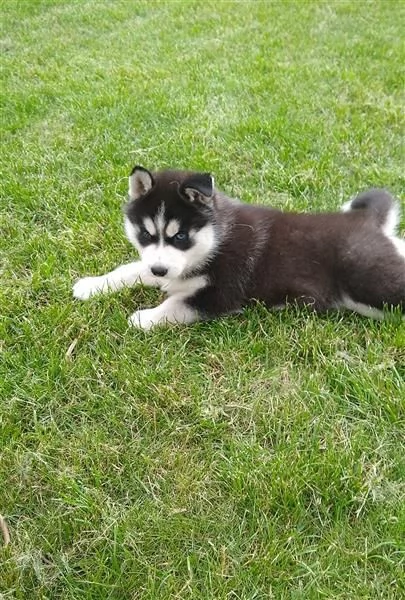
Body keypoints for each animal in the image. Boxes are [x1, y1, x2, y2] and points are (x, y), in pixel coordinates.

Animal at [73, 166, 404, 330]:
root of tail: (365, 222)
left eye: (181, 237)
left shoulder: (223, 293)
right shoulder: (170, 268)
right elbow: (129, 270)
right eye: (145, 233)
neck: (215, 241)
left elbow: (177, 305)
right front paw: (92, 285)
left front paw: (144, 318)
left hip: (369, 280)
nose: (159, 269)